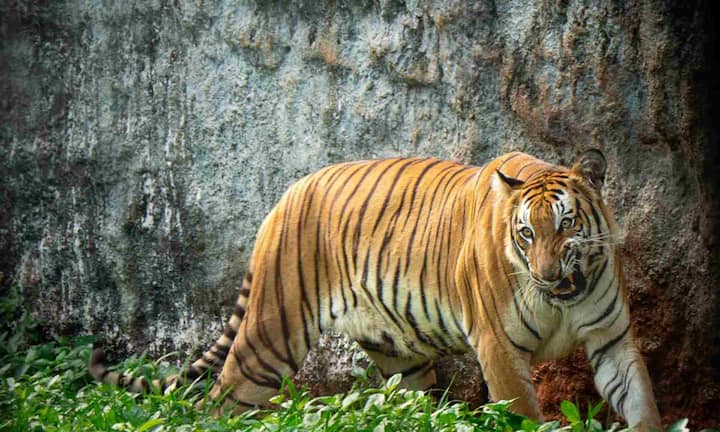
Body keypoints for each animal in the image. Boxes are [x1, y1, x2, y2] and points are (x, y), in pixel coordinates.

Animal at [90, 150, 661, 430]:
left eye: (566, 224)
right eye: (525, 233)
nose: (545, 275)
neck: (565, 297)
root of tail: (286, 194)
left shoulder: (612, 340)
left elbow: (641, 403)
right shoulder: (499, 350)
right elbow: (521, 416)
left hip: (400, 360)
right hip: (269, 337)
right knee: (220, 401)